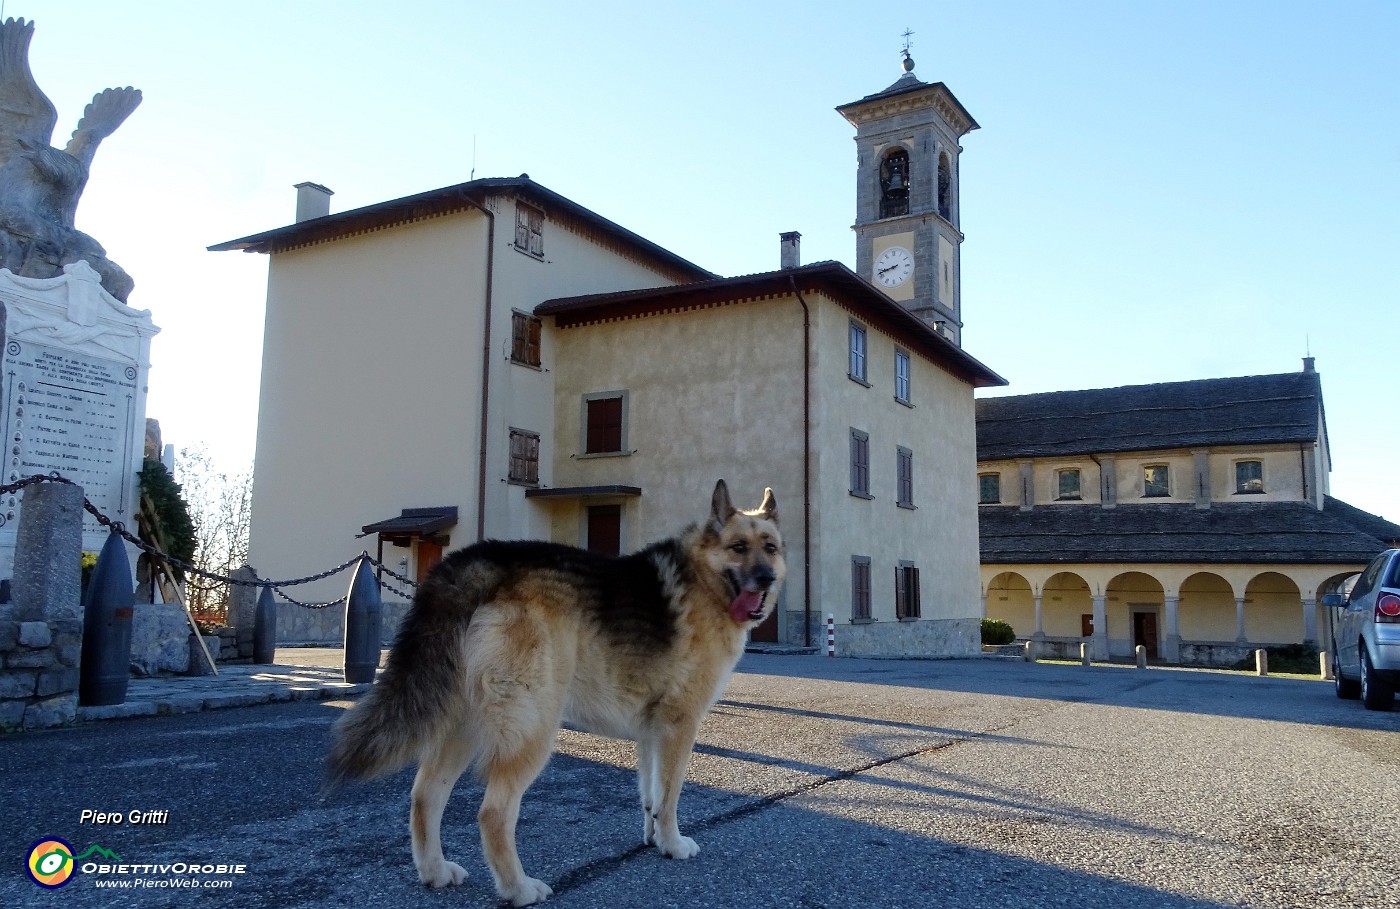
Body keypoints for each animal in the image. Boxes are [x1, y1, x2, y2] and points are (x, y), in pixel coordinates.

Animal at [329, 479, 789, 901]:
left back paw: (435, 871)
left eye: (770, 547)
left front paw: (655, 839)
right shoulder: (680, 726)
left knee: (424, 797)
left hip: (465, 729)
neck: (704, 581)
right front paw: (673, 844)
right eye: (738, 548)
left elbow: (652, 796)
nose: (766, 579)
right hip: (533, 729)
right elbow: (671, 794)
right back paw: (517, 888)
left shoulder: (651, 732)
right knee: (493, 814)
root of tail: (477, 564)